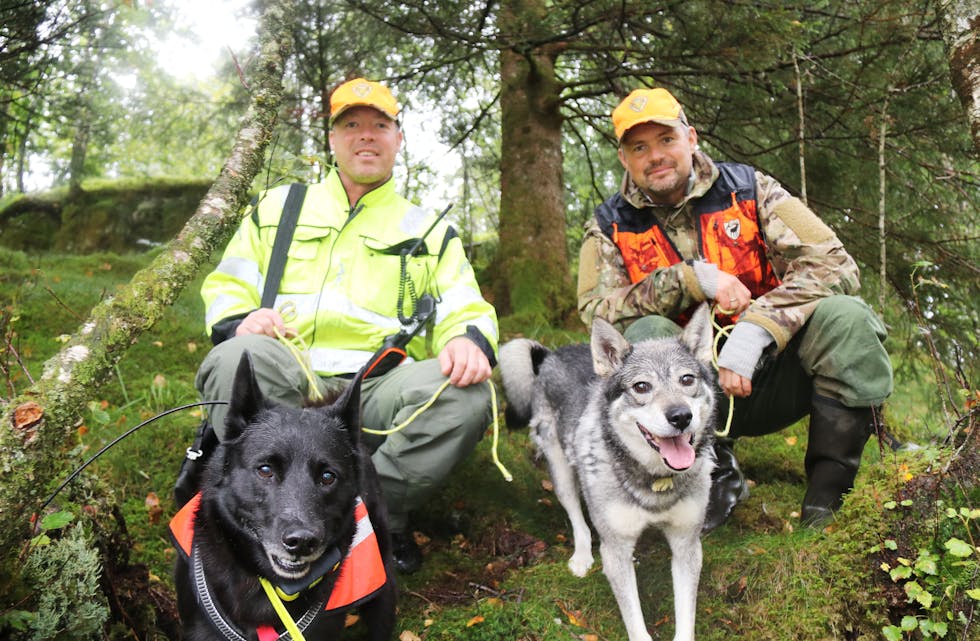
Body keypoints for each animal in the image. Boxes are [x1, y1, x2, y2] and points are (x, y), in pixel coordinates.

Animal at [502, 304, 716, 640]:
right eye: (641, 386)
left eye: (686, 379)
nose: (681, 416)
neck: (653, 482)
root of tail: (550, 354)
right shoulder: (616, 551)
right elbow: (636, 625)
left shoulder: (687, 546)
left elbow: (685, 622)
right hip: (562, 474)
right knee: (577, 517)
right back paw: (581, 557)